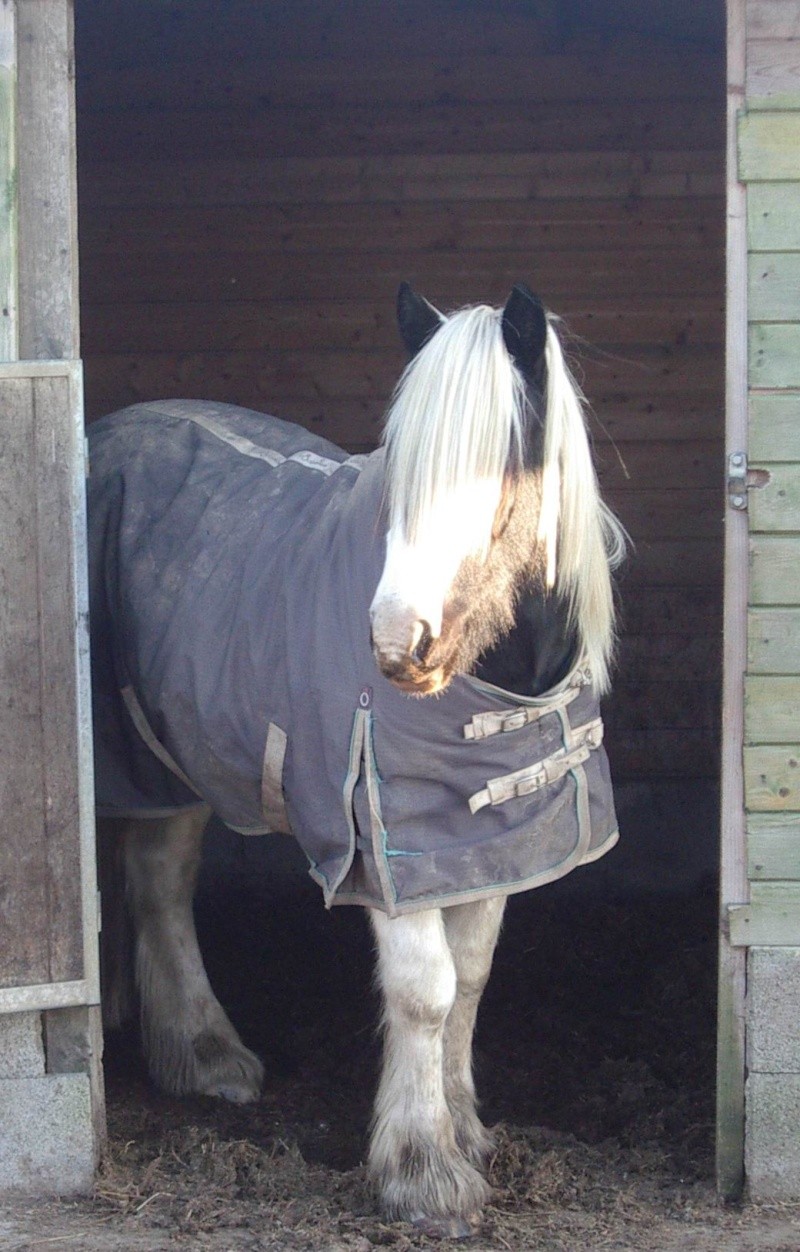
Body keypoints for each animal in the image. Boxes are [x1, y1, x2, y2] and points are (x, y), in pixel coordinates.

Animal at [88, 284, 625, 1231]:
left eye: (501, 469)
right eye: (399, 467)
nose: (396, 640)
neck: (499, 684)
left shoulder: (487, 842)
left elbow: (471, 982)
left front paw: (465, 1130)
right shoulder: (386, 846)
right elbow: (425, 991)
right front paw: (424, 1174)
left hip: (174, 760)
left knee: (160, 883)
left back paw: (203, 1055)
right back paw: (209, 1051)